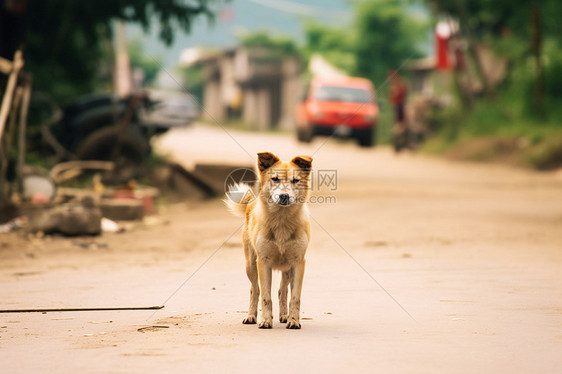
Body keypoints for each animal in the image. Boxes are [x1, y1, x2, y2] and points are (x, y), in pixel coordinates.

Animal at [224, 151, 310, 328]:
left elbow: (295, 297)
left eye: (295, 180)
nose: (284, 196)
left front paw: (293, 320)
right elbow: (265, 296)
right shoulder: (263, 262)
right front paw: (265, 321)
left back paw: (284, 315)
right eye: (275, 179)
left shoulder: (298, 262)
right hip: (250, 264)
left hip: (287, 267)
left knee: (282, 290)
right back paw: (251, 316)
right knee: (254, 290)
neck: (282, 222)